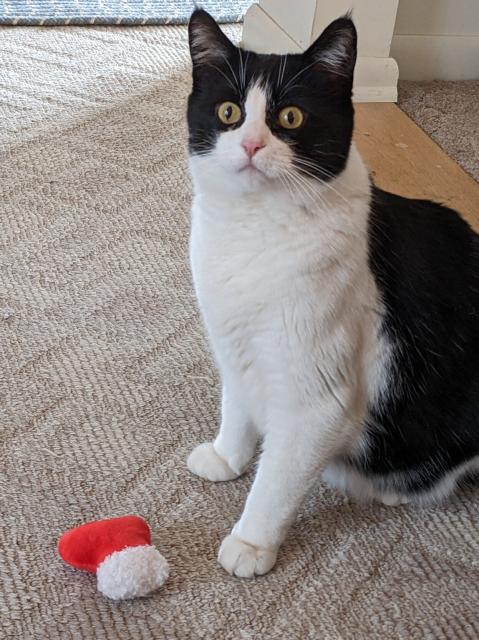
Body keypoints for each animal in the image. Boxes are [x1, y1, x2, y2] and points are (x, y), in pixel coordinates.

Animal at [185, 8, 479, 580]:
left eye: (291, 117)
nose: (251, 146)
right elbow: (237, 403)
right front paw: (228, 456)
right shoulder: (234, 341)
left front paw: (251, 542)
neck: (251, 233)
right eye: (229, 112)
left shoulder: (318, 399)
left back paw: (394, 489)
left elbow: (277, 478)